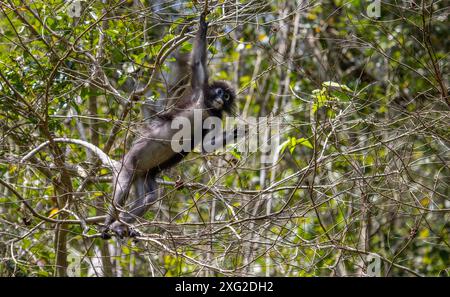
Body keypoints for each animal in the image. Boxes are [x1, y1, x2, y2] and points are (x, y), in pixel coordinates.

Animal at [21, 13, 237, 238]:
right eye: (220, 92)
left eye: (227, 97)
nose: (221, 99)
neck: (207, 107)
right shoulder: (199, 92)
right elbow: (196, 63)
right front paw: (203, 23)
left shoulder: (215, 115)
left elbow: (205, 147)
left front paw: (241, 131)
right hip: (130, 164)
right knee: (123, 188)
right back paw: (109, 224)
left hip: (144, 175)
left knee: (149, 197)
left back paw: (120, 226)